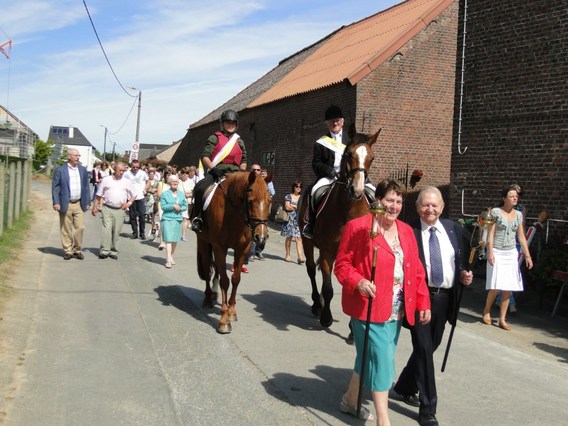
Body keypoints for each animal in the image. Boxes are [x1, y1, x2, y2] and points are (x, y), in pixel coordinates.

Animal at [195, 171, 270, 334]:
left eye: (269, 201)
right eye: (250, 201)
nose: (261, 237)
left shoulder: (242, 249)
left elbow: (236, 279)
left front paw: (231, 311)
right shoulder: (219, 247)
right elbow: (225, 281)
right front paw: (224, 320)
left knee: (216, 269)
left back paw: (215, 293)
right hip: (203, 242)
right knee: (207, 269)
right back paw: (208, 298)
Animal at [298, 125, 382, 328]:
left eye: (372, 158)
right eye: (349, 154)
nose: (357, 190)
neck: (347, 211)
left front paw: (353, 327)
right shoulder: (327, 251)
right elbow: (329, 287)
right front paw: (326, 317)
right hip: (307, 241)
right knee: (311, 270)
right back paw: (317, 304)